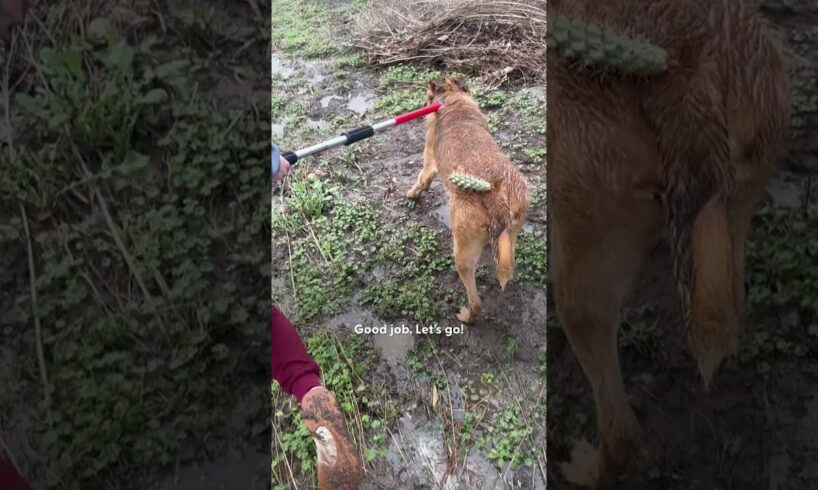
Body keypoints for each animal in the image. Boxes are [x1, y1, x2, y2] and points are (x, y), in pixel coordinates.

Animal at [406, 76, 528, 326]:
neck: (453, 98)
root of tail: (494, 194)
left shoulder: (428, 162)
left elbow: (421, 179)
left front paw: (412, 194)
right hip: (512, 233)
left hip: (462, 252)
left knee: (476, 303)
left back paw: (466, 316)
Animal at [548, 0, 792, 486]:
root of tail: (686, 64)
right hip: (736, 213)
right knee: (729, 314)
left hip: (580, 280)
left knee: (623, 435)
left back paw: (586, 468)